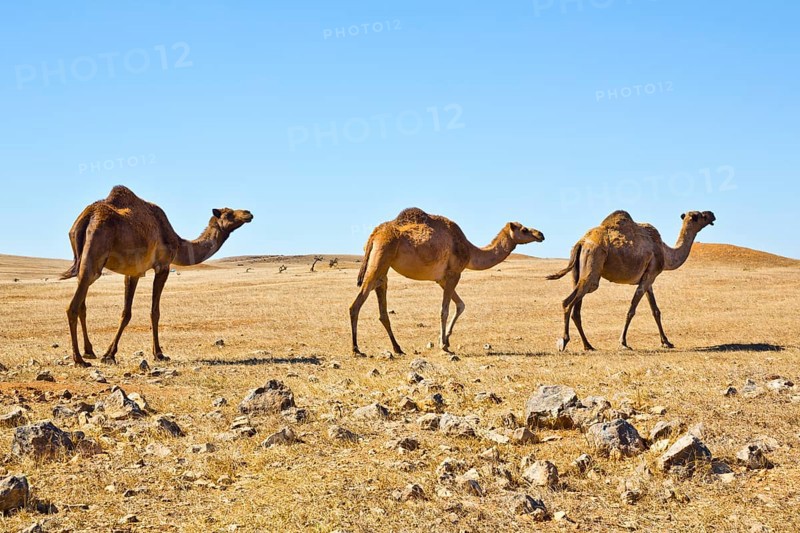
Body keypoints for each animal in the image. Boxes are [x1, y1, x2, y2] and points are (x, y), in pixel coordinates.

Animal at [61, 185, 253, 367]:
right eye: (229, 213)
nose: (248, 213)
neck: (179, 244)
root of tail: (87, 217)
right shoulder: (163, 266)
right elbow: (155, 312)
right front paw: (159, 354)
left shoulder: (133, 272)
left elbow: (126, 313)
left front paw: (110, 354)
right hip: (95, 253)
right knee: (72, 307)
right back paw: (79, 359)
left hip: (84, 262)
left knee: (82, 304)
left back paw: (89, 351)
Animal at [350, 208, 545, 356]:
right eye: (524, 229)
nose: (540, 234)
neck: (470, 251)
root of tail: (374, 235)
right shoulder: (454, 273)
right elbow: (444, 310)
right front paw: (443, 345)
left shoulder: (442, 279)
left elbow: (461, 305)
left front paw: (446, 339)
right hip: (381, 256)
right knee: (356, 304)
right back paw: (356, 349)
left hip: (383, 265)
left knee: (382, 301)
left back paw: (397, 348)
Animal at [547, 210, 716, 352]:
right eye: (700, 215)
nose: (712, 214)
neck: (665, 253)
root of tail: (581, 242)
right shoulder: (650, 276)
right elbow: (631, 310)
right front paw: (623, 342)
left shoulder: (648, 279)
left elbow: (655, 311)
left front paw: (666, 342)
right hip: (593, 265)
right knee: (568, 302)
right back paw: (564, 341)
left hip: (578, 273)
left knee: (576, 310)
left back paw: (588, 345)